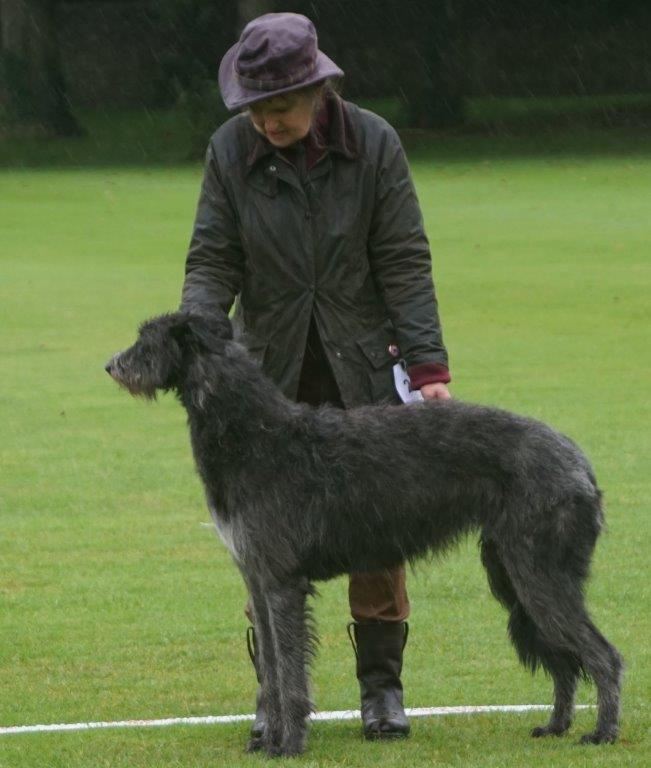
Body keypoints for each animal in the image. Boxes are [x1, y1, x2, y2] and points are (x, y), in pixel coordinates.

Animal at [108, 310, 628, 756]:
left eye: (147, 339)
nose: (111, 365)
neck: (256, 433)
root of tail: (579, 460)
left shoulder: (282, 582)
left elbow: (290, 675)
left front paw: (288, 745)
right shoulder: (257, 579)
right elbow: (271, 672)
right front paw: (270, 739)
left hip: (540, 573)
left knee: (603, 655)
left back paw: (602, 732)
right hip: (513, 574)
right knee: (564, 660)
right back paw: (557, 725)